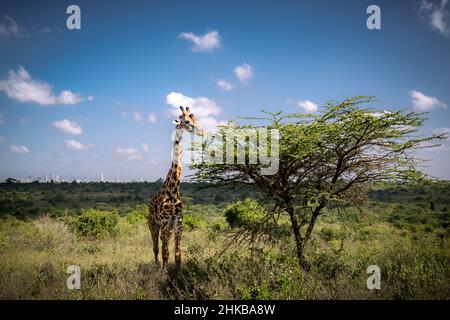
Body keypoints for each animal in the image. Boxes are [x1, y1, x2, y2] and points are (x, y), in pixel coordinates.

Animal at [148, 105, 204, 268]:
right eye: (187, 122)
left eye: (195, 119)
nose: (202, 132)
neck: (173, 189)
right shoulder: (165, 222)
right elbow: (166, 254)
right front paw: (163, 272)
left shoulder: (178, 222)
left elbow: (177, 254)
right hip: (152, 224)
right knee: (156, 247)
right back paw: (156, 265)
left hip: (168, 229)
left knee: (161, 246)